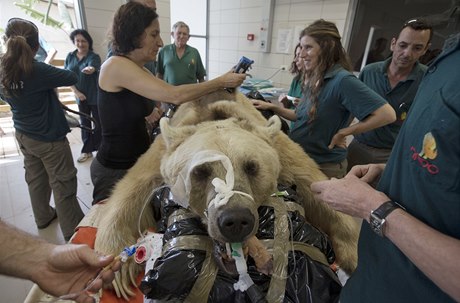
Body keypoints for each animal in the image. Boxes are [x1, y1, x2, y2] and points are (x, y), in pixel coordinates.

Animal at [94, 90, 360, 300]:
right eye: (201, 171)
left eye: (252, 167)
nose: (236, 219)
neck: (213, 115)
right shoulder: (159, 156)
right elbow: (130, 192)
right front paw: (117, 271)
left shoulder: (282, 152)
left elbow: (316, 187)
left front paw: (354, 255)